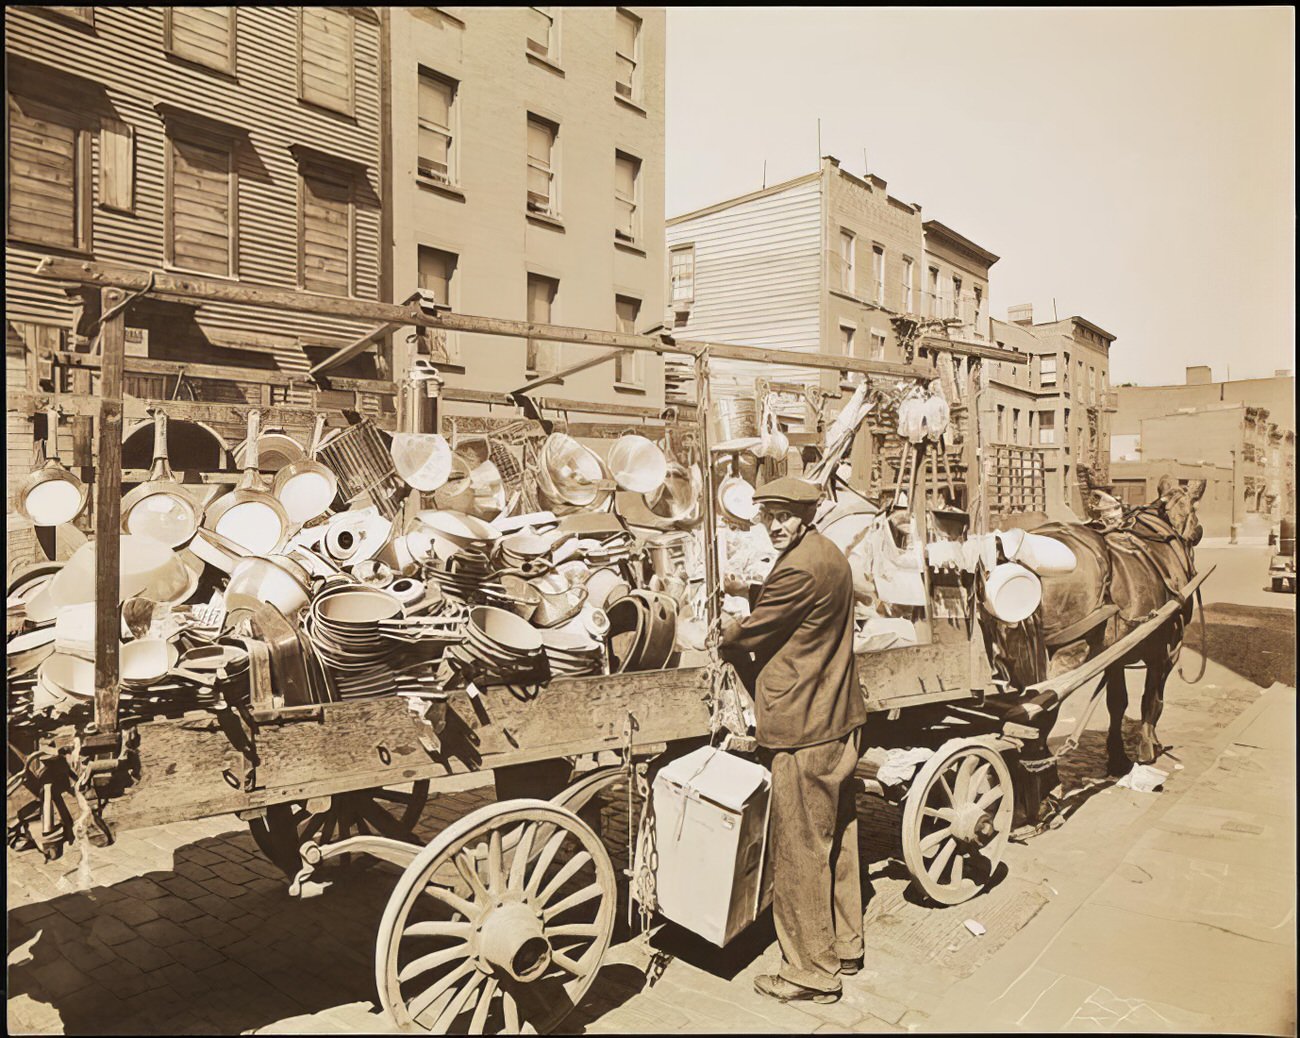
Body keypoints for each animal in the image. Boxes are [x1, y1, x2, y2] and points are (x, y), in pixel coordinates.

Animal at [1029, 476, 1201, 775]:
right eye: (1193, 507)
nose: (1198, 531)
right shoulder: (1165, 649)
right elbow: (1152, 697)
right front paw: (1148, 745)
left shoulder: (1116, 654)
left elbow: (1117, 702)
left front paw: (1118, 756)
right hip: (1070, 651)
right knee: (1043, 704)